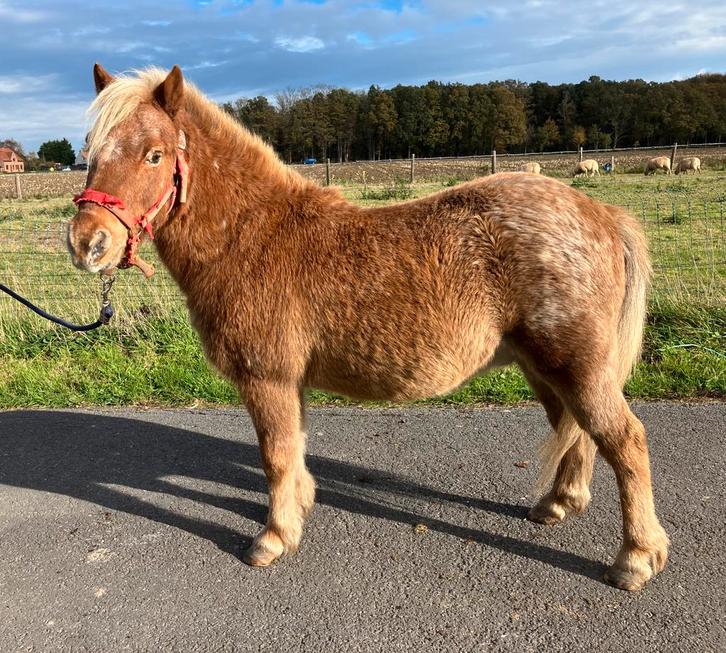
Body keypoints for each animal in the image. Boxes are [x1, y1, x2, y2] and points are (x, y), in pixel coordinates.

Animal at [67, 64, 669, 591]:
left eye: (155, 154)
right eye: (89, 152)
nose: (87, 243)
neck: (251, 235)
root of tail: (602, 214)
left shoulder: (267, 380)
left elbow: (275, 455)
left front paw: (273, 538)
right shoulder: (290, 383)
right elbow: (294, 449)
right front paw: (298, 511)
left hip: (576, 365)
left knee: (625, 439)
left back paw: (636, 558)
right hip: (543, 367)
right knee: (574, 429)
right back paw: (558, 504)